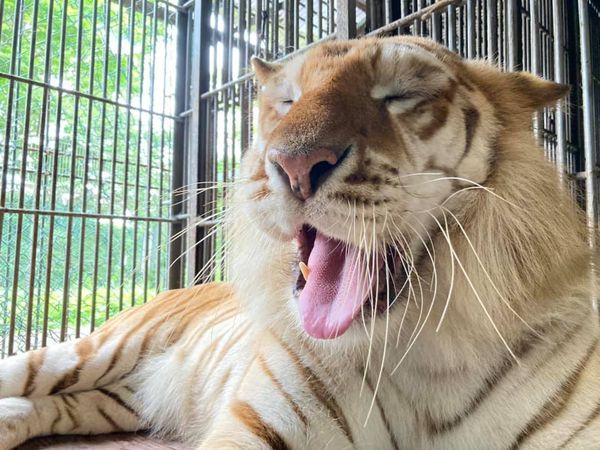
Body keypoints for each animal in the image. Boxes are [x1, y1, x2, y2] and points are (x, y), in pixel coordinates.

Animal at [1, 35, 600, 450]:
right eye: (287, 101)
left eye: (401, 94)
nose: (292, 163)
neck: (421, 352)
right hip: (95, 350)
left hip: (118, 397)